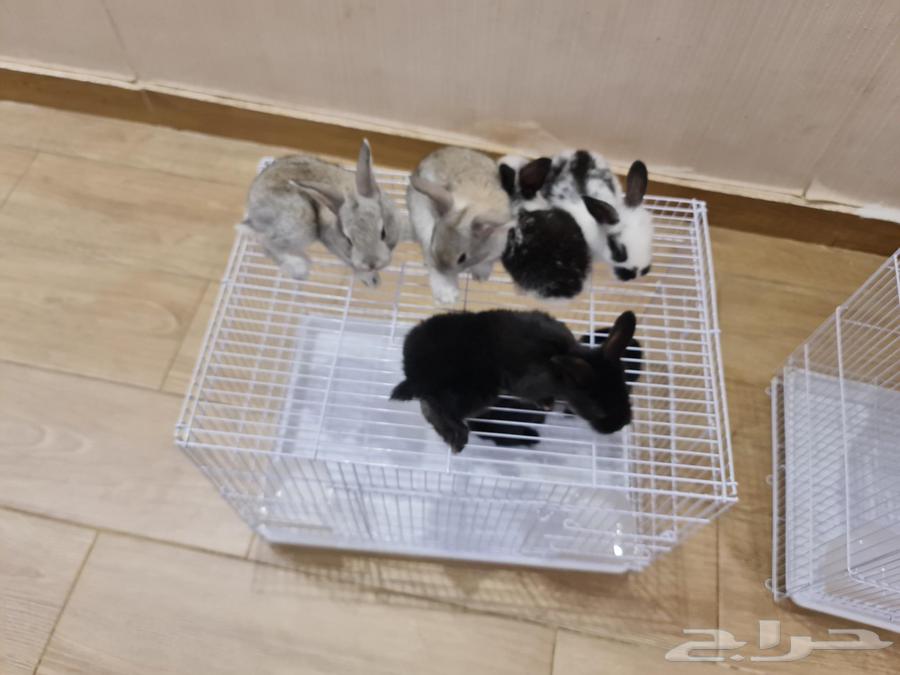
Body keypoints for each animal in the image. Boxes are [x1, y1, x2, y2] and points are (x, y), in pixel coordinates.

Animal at [240, 139, 404, 287]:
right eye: (349, 241)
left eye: (383, 233)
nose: (371, 263)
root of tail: (252, 211)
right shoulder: (333, 244)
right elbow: (351, 263)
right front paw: (372, 280)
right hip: (302, 223)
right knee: (268, 242)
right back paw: (299, 268)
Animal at [390, 309, 637, 453]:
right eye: (598, 409)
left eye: (626, 391)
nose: (621, 424)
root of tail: (415, 374)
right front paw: (547, 404)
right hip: (479, 394)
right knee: (434, 408)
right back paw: (457, 438)